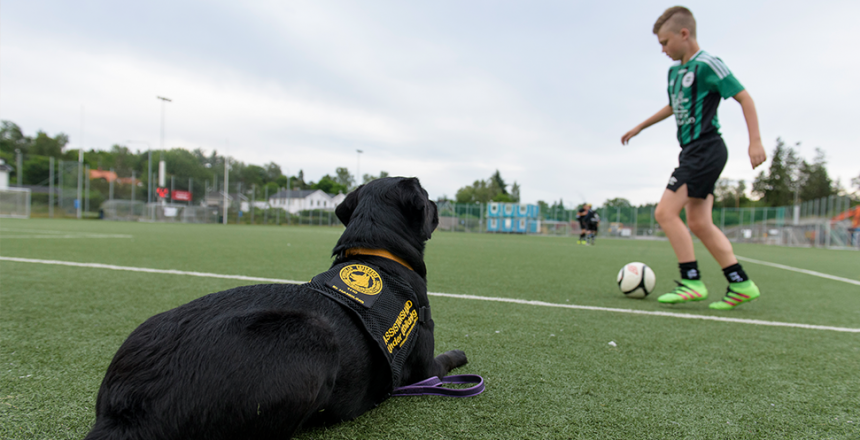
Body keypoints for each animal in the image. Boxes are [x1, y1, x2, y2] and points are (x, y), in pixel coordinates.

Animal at [84, 177, 466, 440]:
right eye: (428, 196)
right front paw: (459, 355)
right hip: (312, 335)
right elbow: (444, 361)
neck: (379, 257)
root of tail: (127, 409)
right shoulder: (423, 368)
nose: (438, 204)